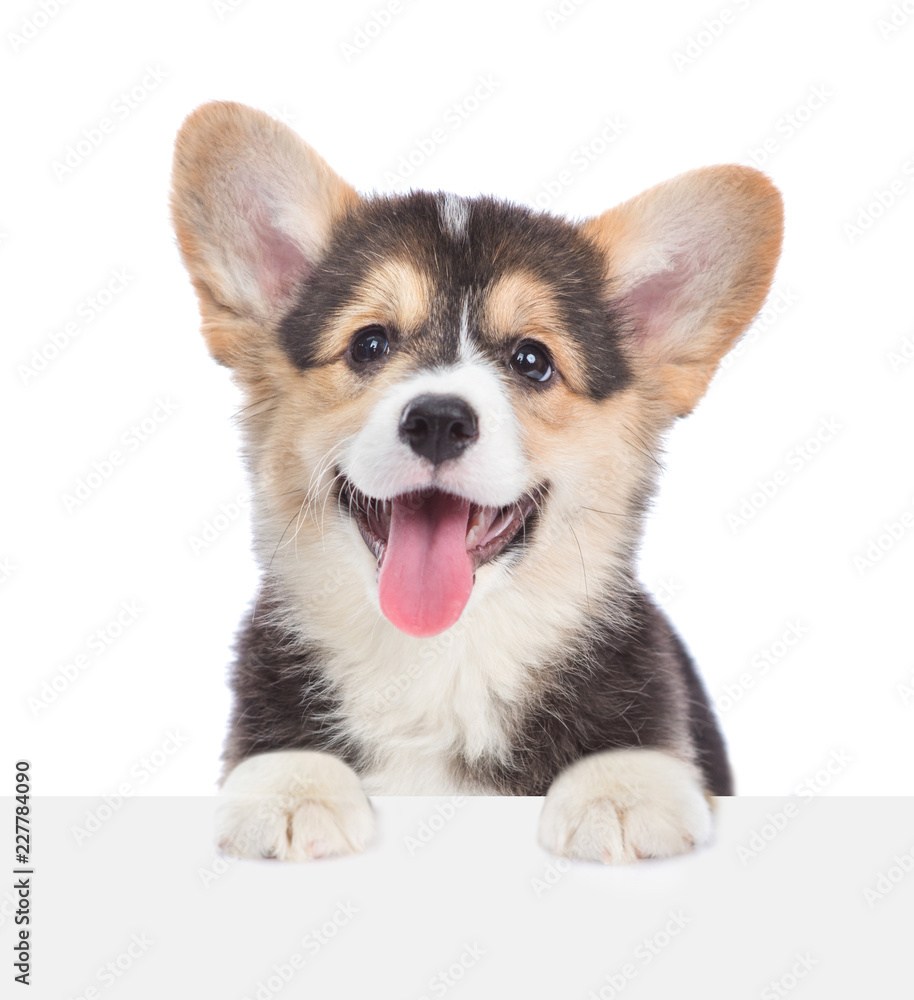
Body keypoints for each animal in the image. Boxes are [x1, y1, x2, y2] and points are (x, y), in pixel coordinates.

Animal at [169, 105, 776, 864]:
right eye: (369, 343)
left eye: (532, 360)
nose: (438, 420)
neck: (440, 660)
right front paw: (293, 787)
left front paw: (618, 789)